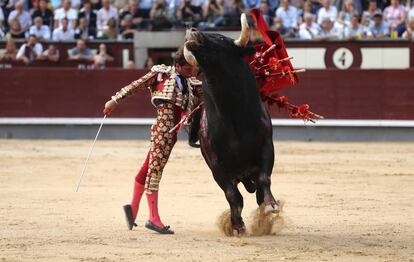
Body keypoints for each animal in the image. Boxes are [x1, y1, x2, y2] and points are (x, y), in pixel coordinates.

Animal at [185, 16, 280, 234]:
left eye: (220, 37)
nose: (191, 29)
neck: (232, 114)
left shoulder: (266, 148)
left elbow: (264, 179)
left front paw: (271, 206)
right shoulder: (216, 165)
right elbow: (232, 195)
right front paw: (237, 225)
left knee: (258, 189)